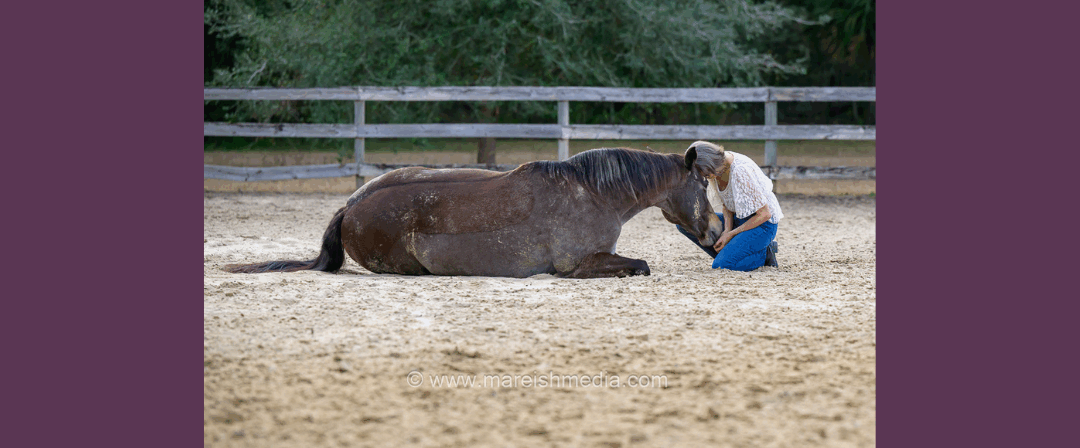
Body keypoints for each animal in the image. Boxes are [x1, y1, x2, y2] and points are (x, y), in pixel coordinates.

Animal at [224, 146, 723, 278]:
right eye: (702, 184)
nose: (714, 231)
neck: (593, 193)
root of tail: (350, 206)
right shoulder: (578, 266)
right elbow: (641, 264)